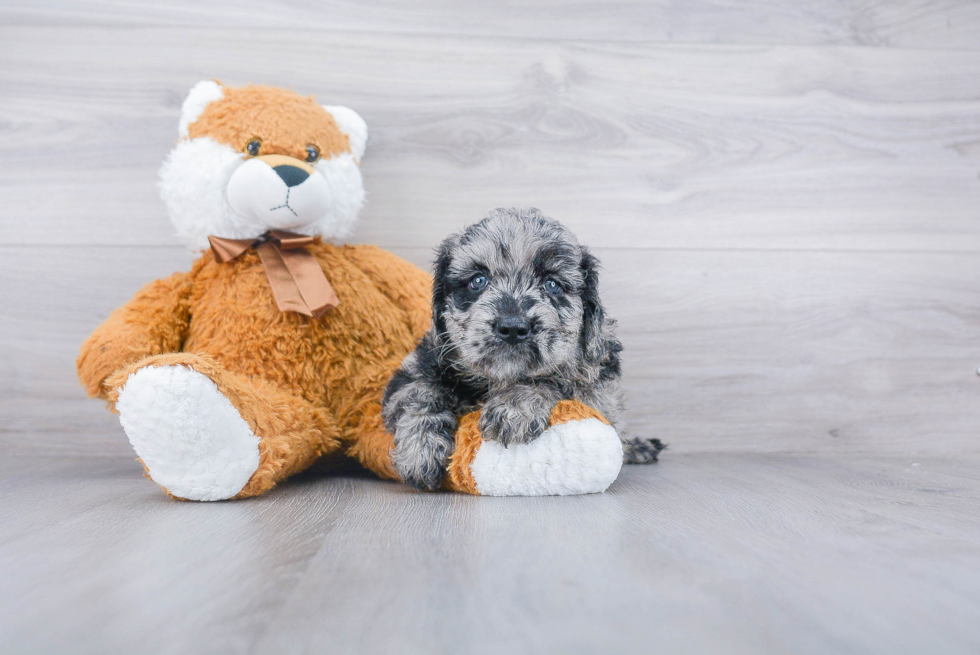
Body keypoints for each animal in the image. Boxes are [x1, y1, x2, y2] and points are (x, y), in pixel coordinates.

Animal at [382, 208, 668, 490]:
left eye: (552, 284)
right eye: (478, 280)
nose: (512, 327)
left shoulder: (597, 382)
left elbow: (555, 378)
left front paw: (513, 407)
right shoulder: (418, 365)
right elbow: (419, 393)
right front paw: (420, 450)